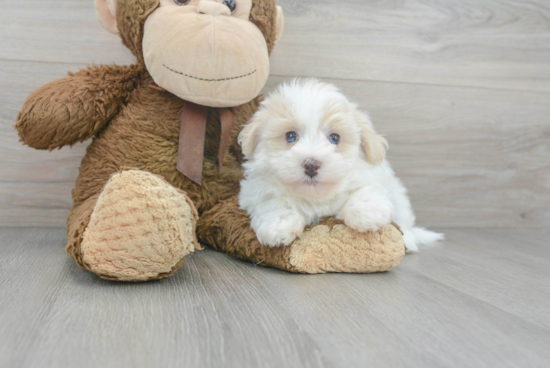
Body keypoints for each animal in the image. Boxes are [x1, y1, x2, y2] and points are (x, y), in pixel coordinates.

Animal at [239, 79, 446, 252]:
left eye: (334, 138)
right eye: (290, 136)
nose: (311, 165)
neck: (317, 196)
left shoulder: (374, 177)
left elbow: (365, 192)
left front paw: (366, 215)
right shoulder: (256, 190)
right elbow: (272, 201)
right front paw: (278, 226)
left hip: (401, 200)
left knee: (405, 222)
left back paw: (409, 240)